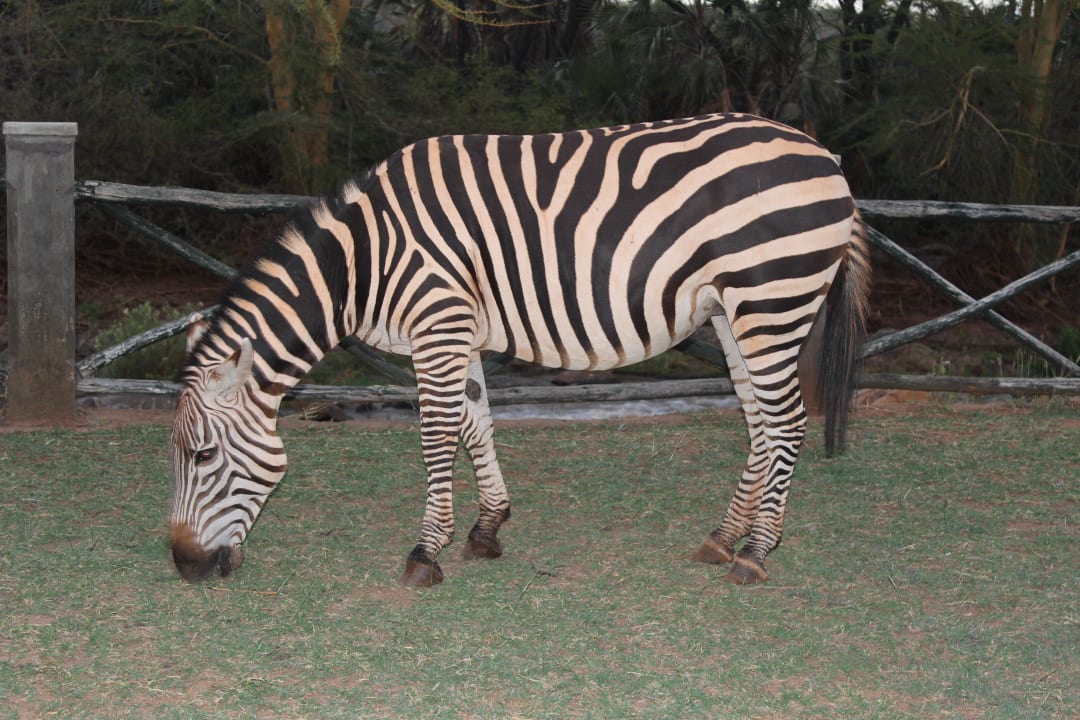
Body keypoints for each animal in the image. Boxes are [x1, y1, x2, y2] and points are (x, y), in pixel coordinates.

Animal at [169, 113, 871, 588]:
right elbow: (476, 424)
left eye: (202, 455)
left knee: (787, 422)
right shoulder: (458, 331)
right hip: (735, 313)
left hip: (772, 300)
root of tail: (824, 155)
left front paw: (426, 551)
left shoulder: (437, 325)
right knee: (759, 421)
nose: (183, 565)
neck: (363, 263)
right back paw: (724, 537)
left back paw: (755, 554)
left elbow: (437, 434)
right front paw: (487, 528)